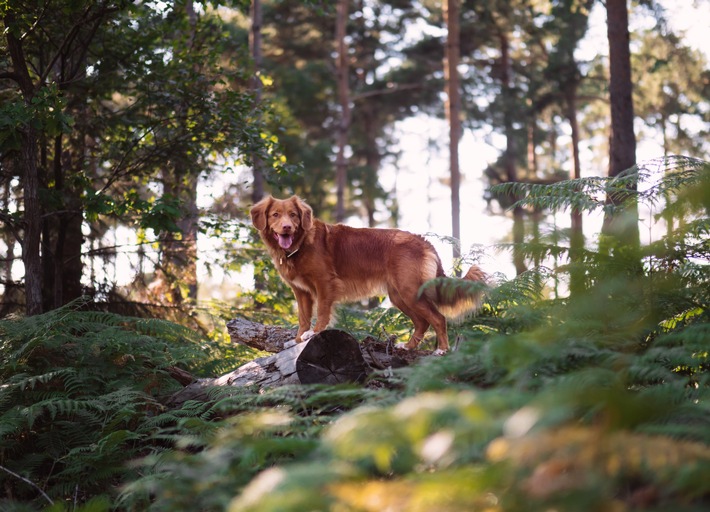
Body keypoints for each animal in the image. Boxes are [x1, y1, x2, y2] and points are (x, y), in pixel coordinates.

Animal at [248, 194, 486, 354]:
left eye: (293, 215)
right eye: (275, 215)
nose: (287, 227)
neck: (300, 244)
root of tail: (424, 241)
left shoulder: (325, 284)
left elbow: (322, 312)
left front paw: (314, 333)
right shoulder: (301, 291)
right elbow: (303, 317)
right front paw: (298, 340)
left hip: (409, 290)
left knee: (438, 318)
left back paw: (442, 350)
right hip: (399, 295)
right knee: (422, 322)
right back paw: (408, 346)